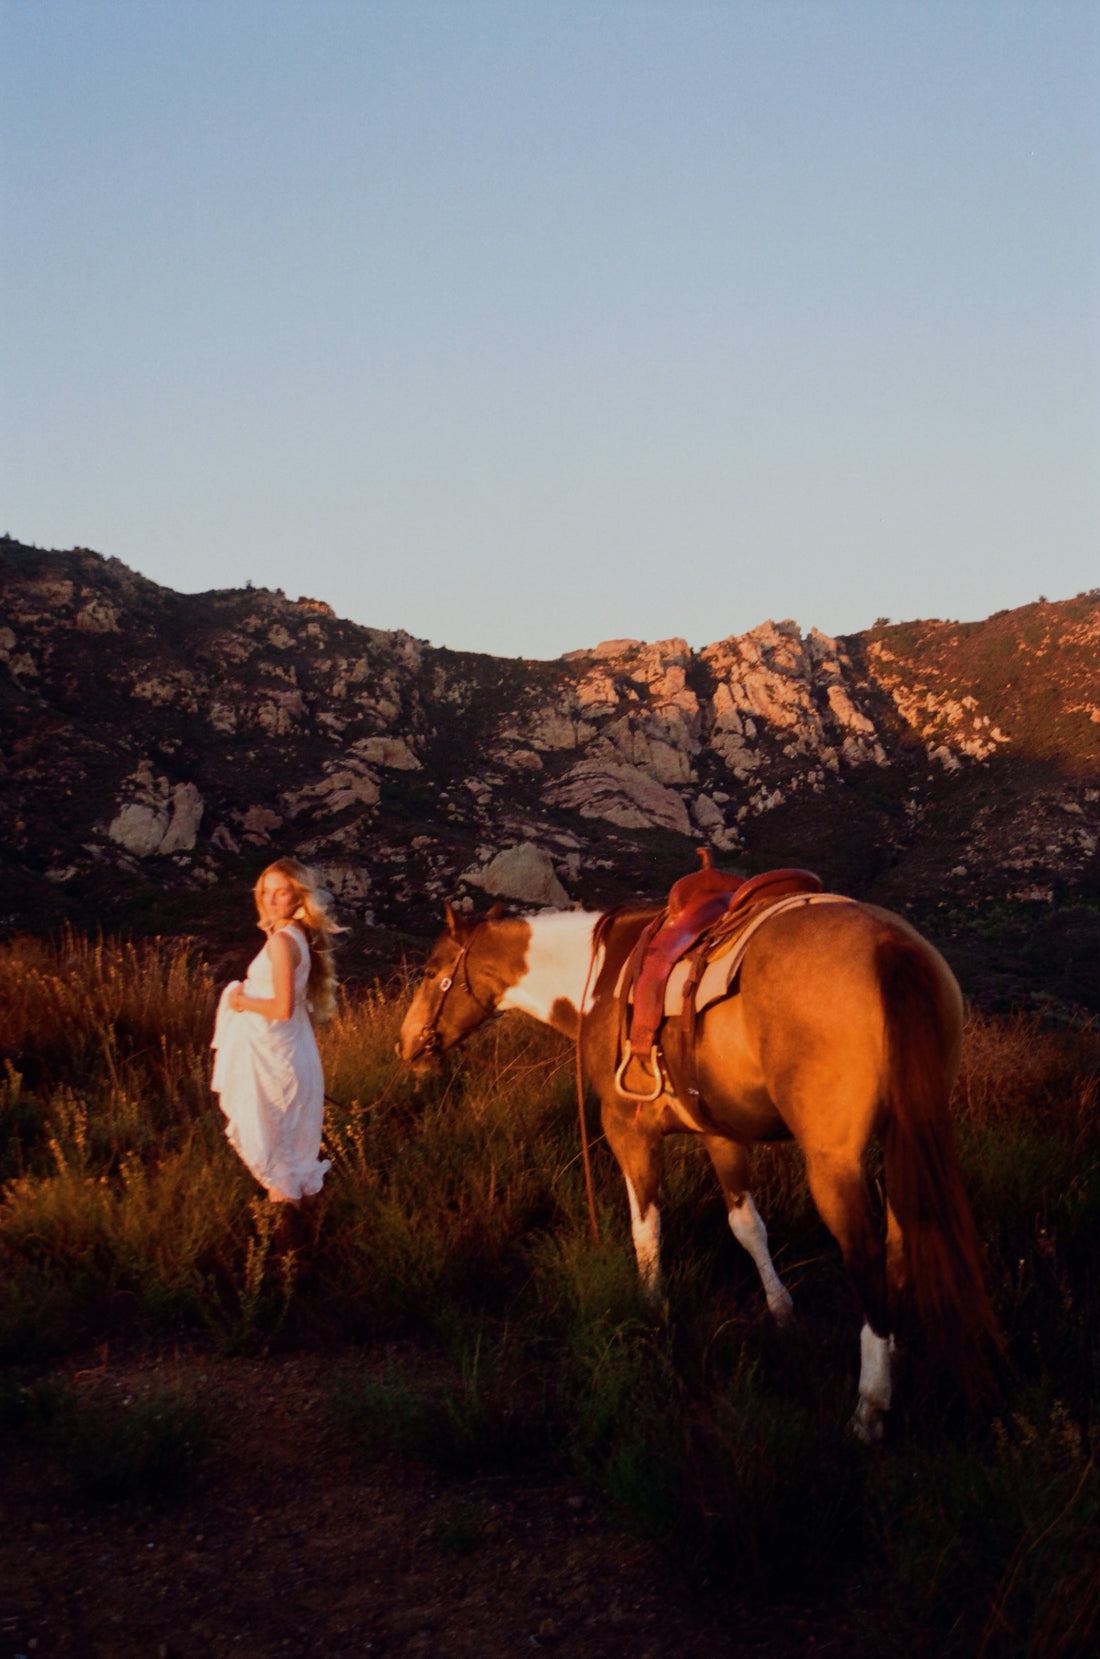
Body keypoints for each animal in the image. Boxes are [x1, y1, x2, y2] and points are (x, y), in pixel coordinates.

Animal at [398, 895, 995, 1440]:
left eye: (430, 972)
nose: (406, 1046)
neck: (600, 981)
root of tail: (889, 945)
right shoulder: (720, 1134)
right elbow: (747, 1225)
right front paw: (781, 1311)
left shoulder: (628, 1130)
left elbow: (646, 1227)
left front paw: (652, 1308)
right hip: (904, 1136)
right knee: (902, 1236)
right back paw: (896, 1354)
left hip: (834, 1161)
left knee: (865, 1253)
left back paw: (870, 1403)